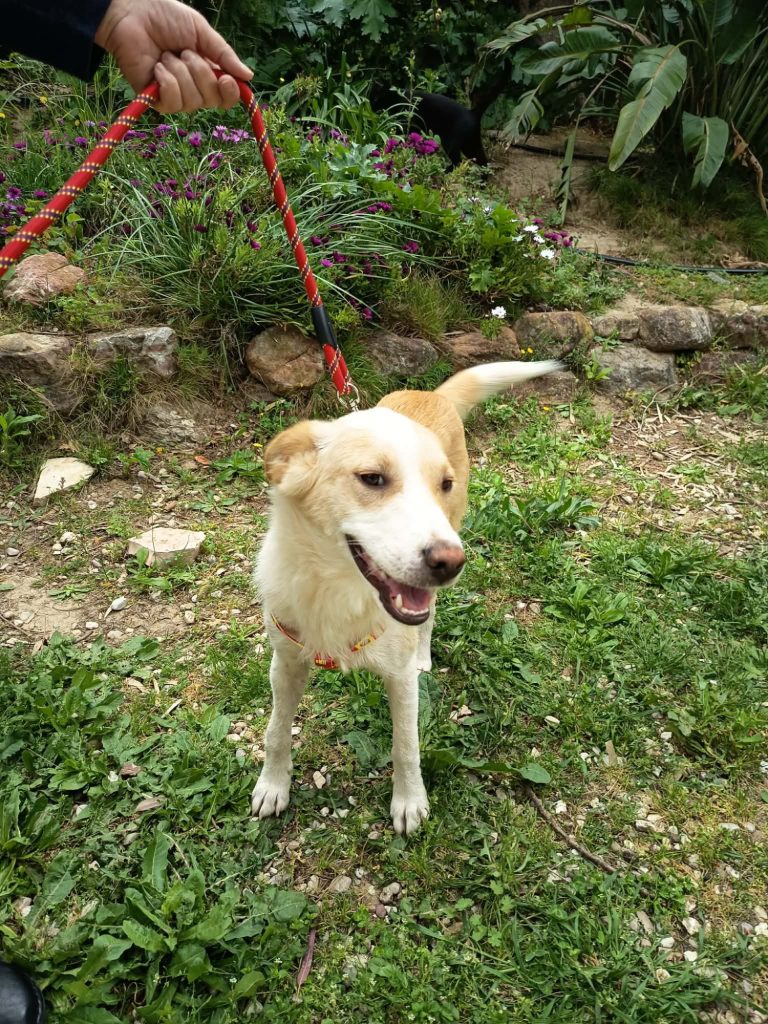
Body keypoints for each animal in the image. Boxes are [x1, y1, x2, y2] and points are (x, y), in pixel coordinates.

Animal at [251, 359, 561, 834]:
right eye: (372, 478)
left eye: (443, 484)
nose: (451, 562)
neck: (338, 589)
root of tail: (431, 395)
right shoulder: (285, 662)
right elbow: (276, 731)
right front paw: (273, 785)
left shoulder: (399, 680)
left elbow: (406, 746)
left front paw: (410, 800)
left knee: (428, 618)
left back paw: (423, 654)